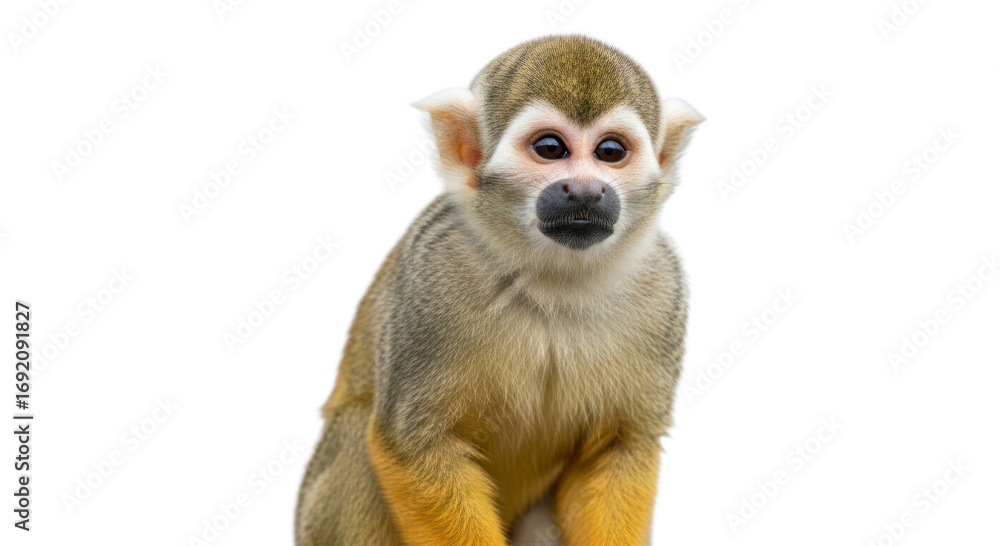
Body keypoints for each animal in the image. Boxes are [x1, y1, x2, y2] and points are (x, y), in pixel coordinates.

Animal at [295, 35, 703, 546]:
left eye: (610, 151)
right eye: (550, 148)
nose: (585, 191)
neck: (552, 278)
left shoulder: (663, 288)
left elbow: (619, 445)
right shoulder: (431, 275)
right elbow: (414, 442)